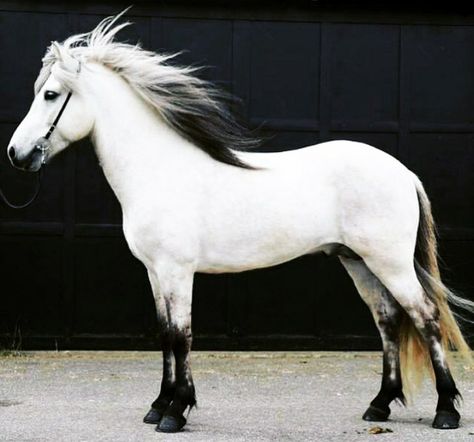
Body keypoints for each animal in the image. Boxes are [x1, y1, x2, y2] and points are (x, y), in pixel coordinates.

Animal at [7, 12, 474, 432]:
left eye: (51, 94)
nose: (16, 153)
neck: (159, 169)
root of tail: (402, 171)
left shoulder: (177, 272)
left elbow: (181, 336)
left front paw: (176, 412)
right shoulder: (155, 273)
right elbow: (164, 336)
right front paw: (158, 406)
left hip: (389, 263)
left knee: (427, 317)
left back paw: (445, 411)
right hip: (358, 262)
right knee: (388, 321)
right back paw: (379, 406)